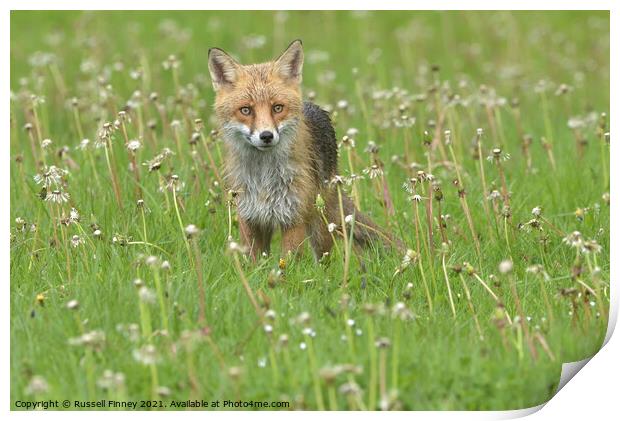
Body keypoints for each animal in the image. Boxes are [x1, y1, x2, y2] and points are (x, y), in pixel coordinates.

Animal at [208, 39, 400, 258]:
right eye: (246, 110)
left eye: (277, 108)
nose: (266, 136)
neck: (263, 177)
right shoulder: (249, 217)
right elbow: (253, 260)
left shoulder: (293, 217)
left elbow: (288, 263)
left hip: (319, 224)